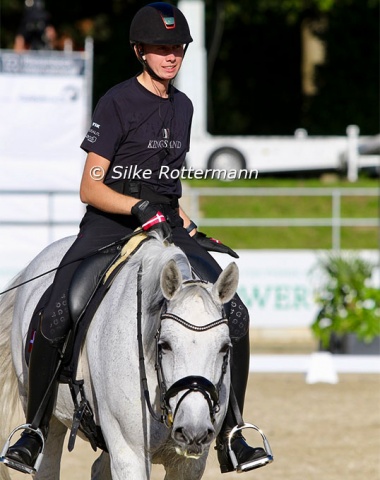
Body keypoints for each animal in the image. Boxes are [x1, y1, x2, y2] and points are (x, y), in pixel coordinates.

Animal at [0, 231, 238, 478]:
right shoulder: (129, 454)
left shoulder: (188, 464)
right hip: (42, 407)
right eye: (165, 345)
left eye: (225, 347)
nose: (194, 430)